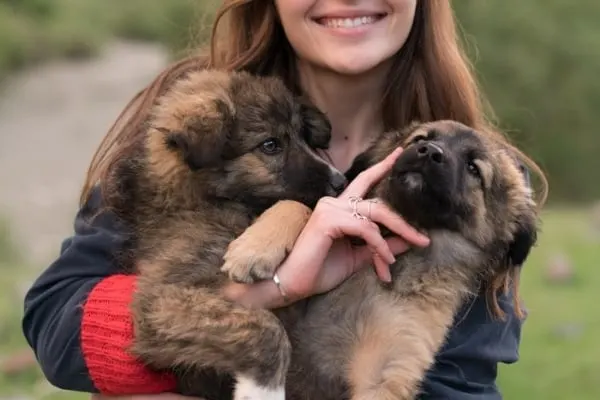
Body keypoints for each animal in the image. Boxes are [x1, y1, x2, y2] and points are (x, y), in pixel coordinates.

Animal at [103, 69, 346, 400]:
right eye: (270, 145)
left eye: (302, 135)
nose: (341, 181)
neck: (199, 200)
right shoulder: (158, 301)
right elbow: (264, 327)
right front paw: (261, 391)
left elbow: (300, 206)